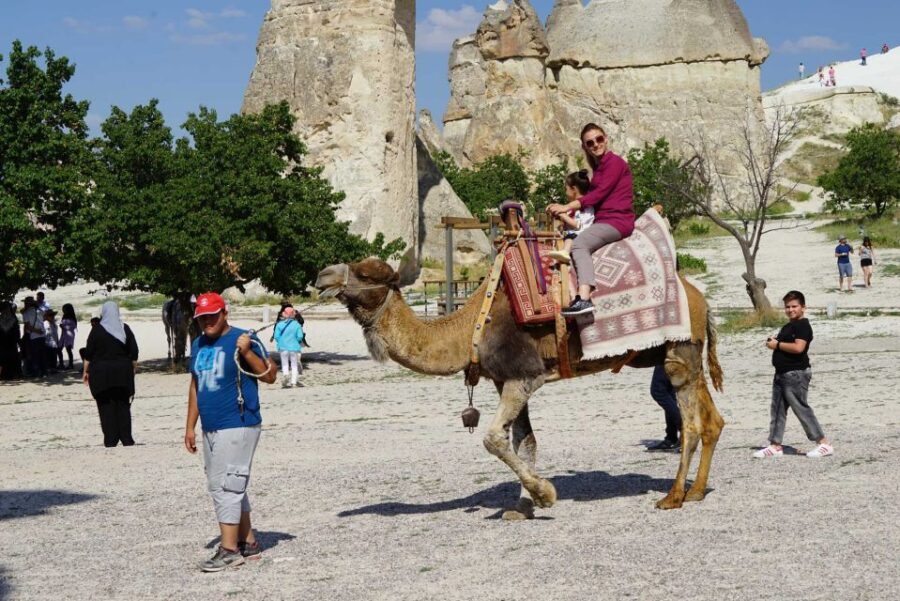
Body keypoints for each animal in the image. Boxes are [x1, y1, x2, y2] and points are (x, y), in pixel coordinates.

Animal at [315, 258, 724, 519]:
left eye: (364, 272)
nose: (322, 276)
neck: (471, 327)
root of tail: (701, 299)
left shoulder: (525, 375)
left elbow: (493, 438)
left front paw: (544, 495)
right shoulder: (504, 380)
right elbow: (524, 441)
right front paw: (523, 507)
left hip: (679, 350)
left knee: (690, 423)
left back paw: (673, 498)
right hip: (683, 354)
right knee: (712, 420)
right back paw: (697, 491)